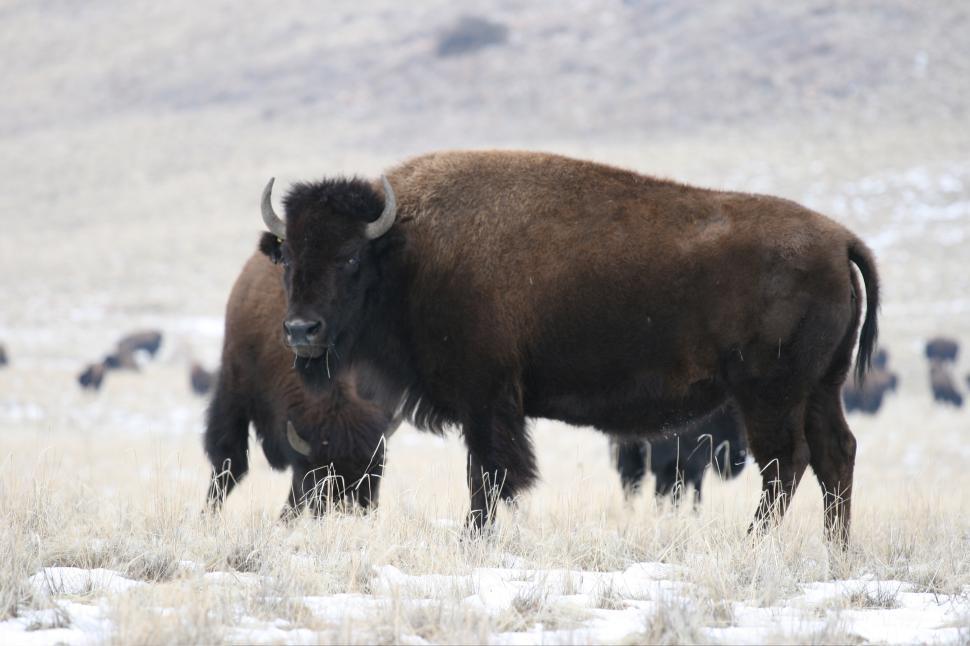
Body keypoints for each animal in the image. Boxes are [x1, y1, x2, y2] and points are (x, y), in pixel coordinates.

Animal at [203, 252, 401, 517]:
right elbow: (229, 463)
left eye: (375, 472)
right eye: (322, 478)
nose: (350, 511)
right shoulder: (234, 394)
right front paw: (207, 517)